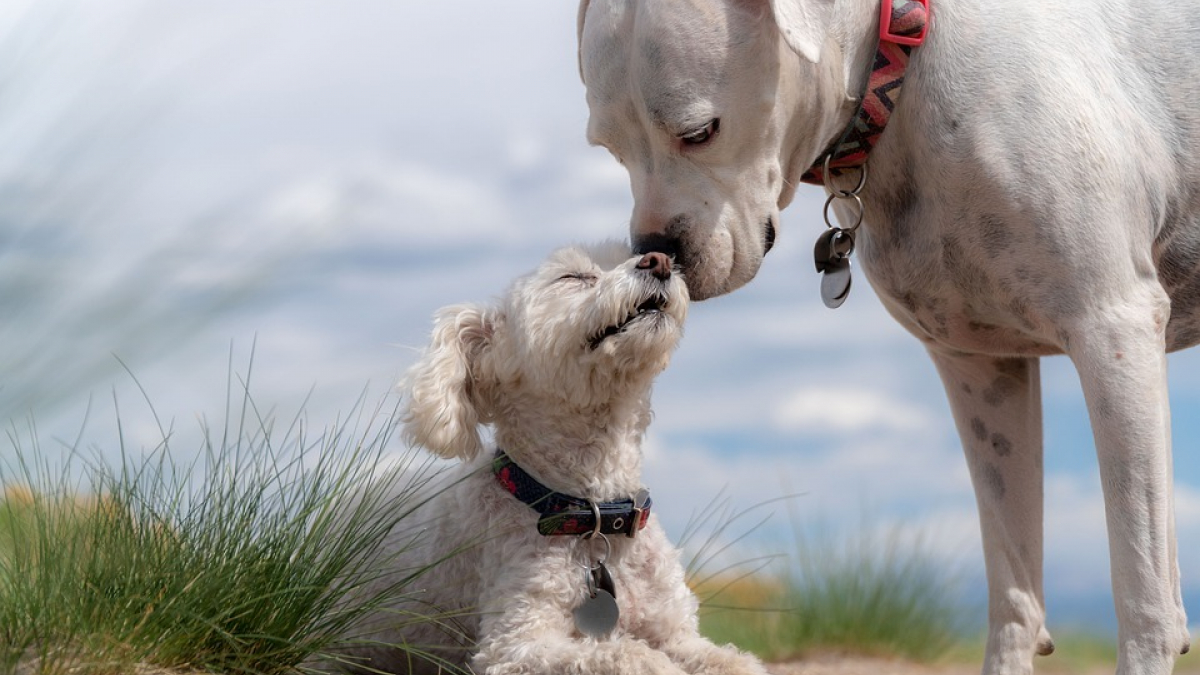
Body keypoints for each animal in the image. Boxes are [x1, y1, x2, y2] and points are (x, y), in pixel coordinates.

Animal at [331, 241, 768, 672]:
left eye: (632, 254)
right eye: (572, 277)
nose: (659, 260)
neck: (593, 515)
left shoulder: (678, 634)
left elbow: (735, 662)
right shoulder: (516, 644)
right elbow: (626, 653)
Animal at [576, 1, 1200, 672]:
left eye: (699, 132)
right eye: (610, 149)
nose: (656, 253)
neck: (901, 60)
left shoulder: (1112, 329)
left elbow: (1142, 587)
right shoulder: (981, 370)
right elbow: (1014, 589)